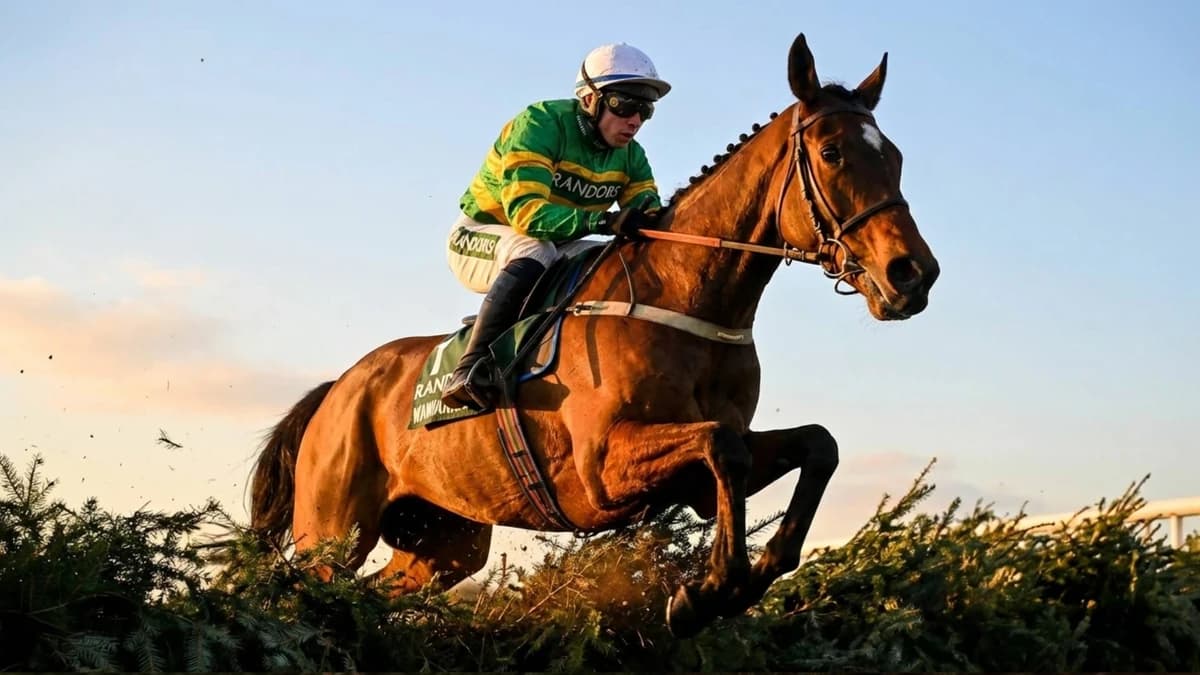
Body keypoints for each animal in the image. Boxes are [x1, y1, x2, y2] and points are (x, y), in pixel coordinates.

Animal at [249, 32, 939, 638]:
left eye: (898, 157)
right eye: (832, 154)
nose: (913, 274)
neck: (685, 297)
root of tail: (338, 388)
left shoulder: (695, 474)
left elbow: (817, 445)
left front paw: (750, 577)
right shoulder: (600, 468)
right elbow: (725, 449)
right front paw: (708, 591)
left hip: (443, 541)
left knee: (375, 591)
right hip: (332, 530)